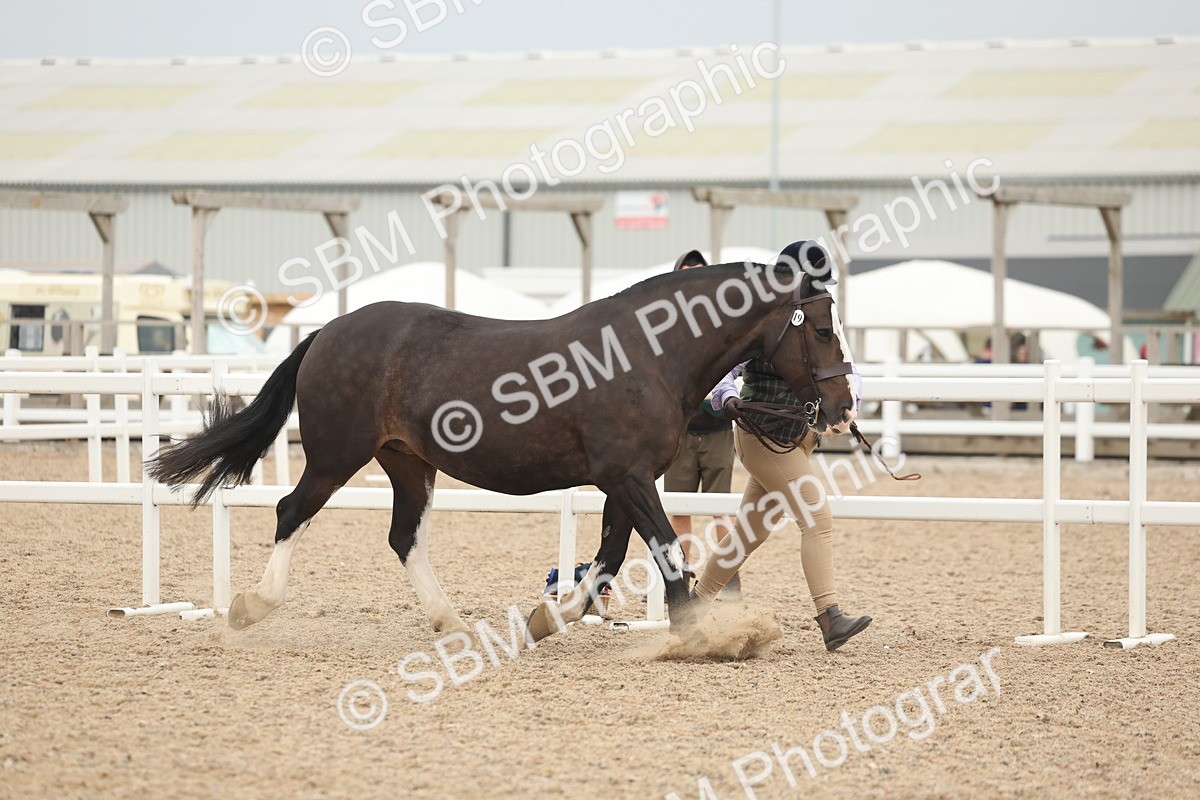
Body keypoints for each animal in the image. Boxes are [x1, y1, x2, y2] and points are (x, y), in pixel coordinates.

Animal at [147, 242, 857, 641]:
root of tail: (328, 332)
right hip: (334, 457)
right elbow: (663, 554)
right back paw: (252, 606)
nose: (843, 409)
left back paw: (451, 623)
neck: (648, 354)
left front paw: (549, 621)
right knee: (291, 512)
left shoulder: (622, 481)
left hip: (408, 464)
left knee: (403, 538)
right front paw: (694, 635)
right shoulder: (627, 477)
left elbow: (607, 559)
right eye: (822, 328)